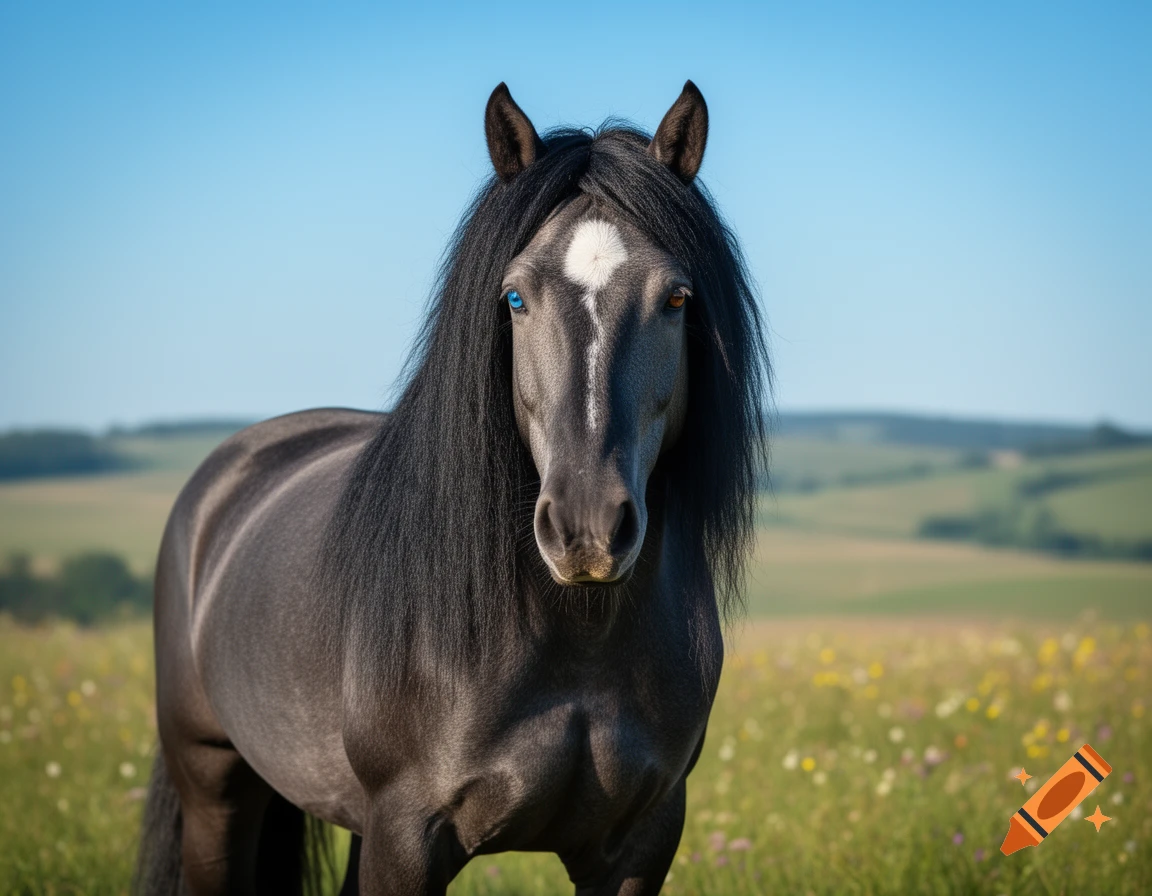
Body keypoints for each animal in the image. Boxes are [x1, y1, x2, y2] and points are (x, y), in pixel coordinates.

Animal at [134, 80, 770, 896]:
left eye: (677, 300)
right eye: (516, 298)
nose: (587, 530)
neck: (578, 634)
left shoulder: (641, 843)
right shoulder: (407, 838)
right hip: (215, 787)